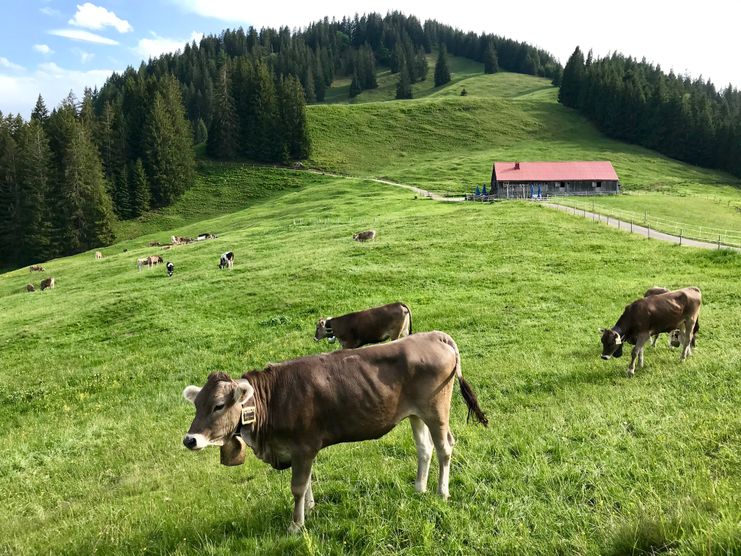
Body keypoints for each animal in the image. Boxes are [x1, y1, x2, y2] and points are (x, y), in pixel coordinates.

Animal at [182, 330, 488, 536]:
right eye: (197, 405)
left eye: (219, 405)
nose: (189, 439)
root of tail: (434, 336)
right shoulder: (299, 451)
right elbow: (307, 483)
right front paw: (310, 509)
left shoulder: (304, 447)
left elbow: (297, 486)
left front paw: (296, 525)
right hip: (415, 414)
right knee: (425, 449)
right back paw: (418, 489)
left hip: (436, 410)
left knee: (445, 447)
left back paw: (441, 492)